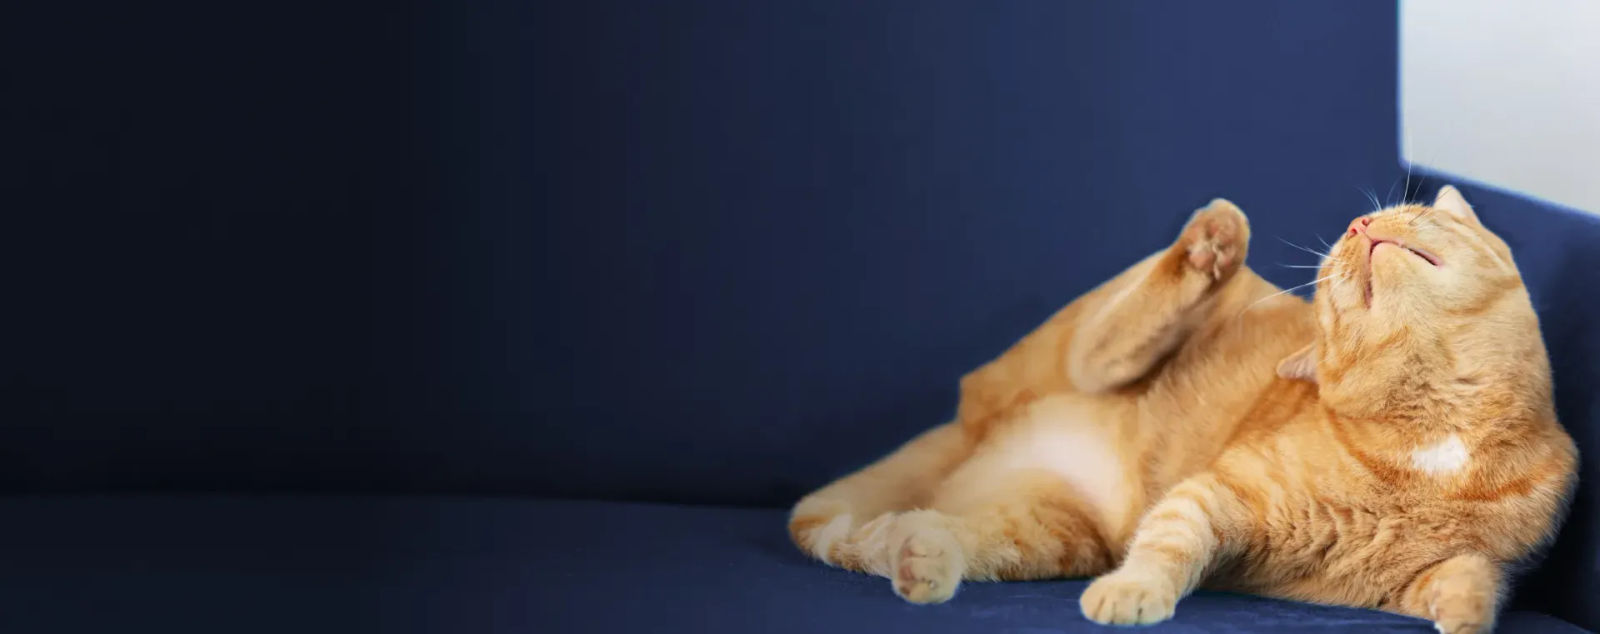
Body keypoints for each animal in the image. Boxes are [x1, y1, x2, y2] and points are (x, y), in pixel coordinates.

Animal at [788, 186, 1576, 634]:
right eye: (1329, 274)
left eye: (1409, 215)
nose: (1357, 226)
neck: (1438, 440)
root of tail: (971, 423)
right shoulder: (1219, 494)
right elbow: (1168, 543)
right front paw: (1133, 595)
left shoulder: (1408, 585)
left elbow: (1469, 579)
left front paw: (1467, 613)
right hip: (1089, 345)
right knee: (1106, 348)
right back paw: (1210, 245)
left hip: (1050, 535)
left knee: (913, 532)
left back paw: (921, 559)